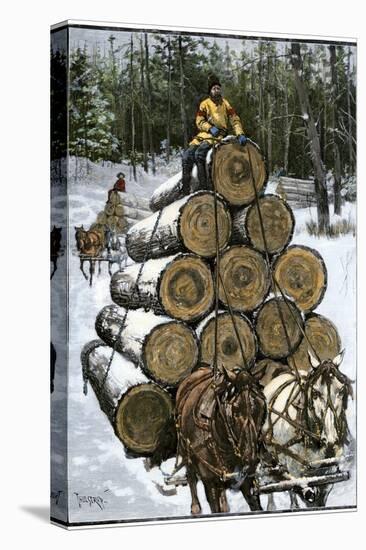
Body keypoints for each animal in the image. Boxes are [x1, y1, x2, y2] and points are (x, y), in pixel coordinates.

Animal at [177, 366, 266, 516]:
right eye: (235, 410)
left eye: (261, 407)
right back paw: (195, 508)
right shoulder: (210, 483)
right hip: (185, 451)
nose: (251, 457)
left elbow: (255, 505)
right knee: (191, 476)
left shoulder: (246, 479)